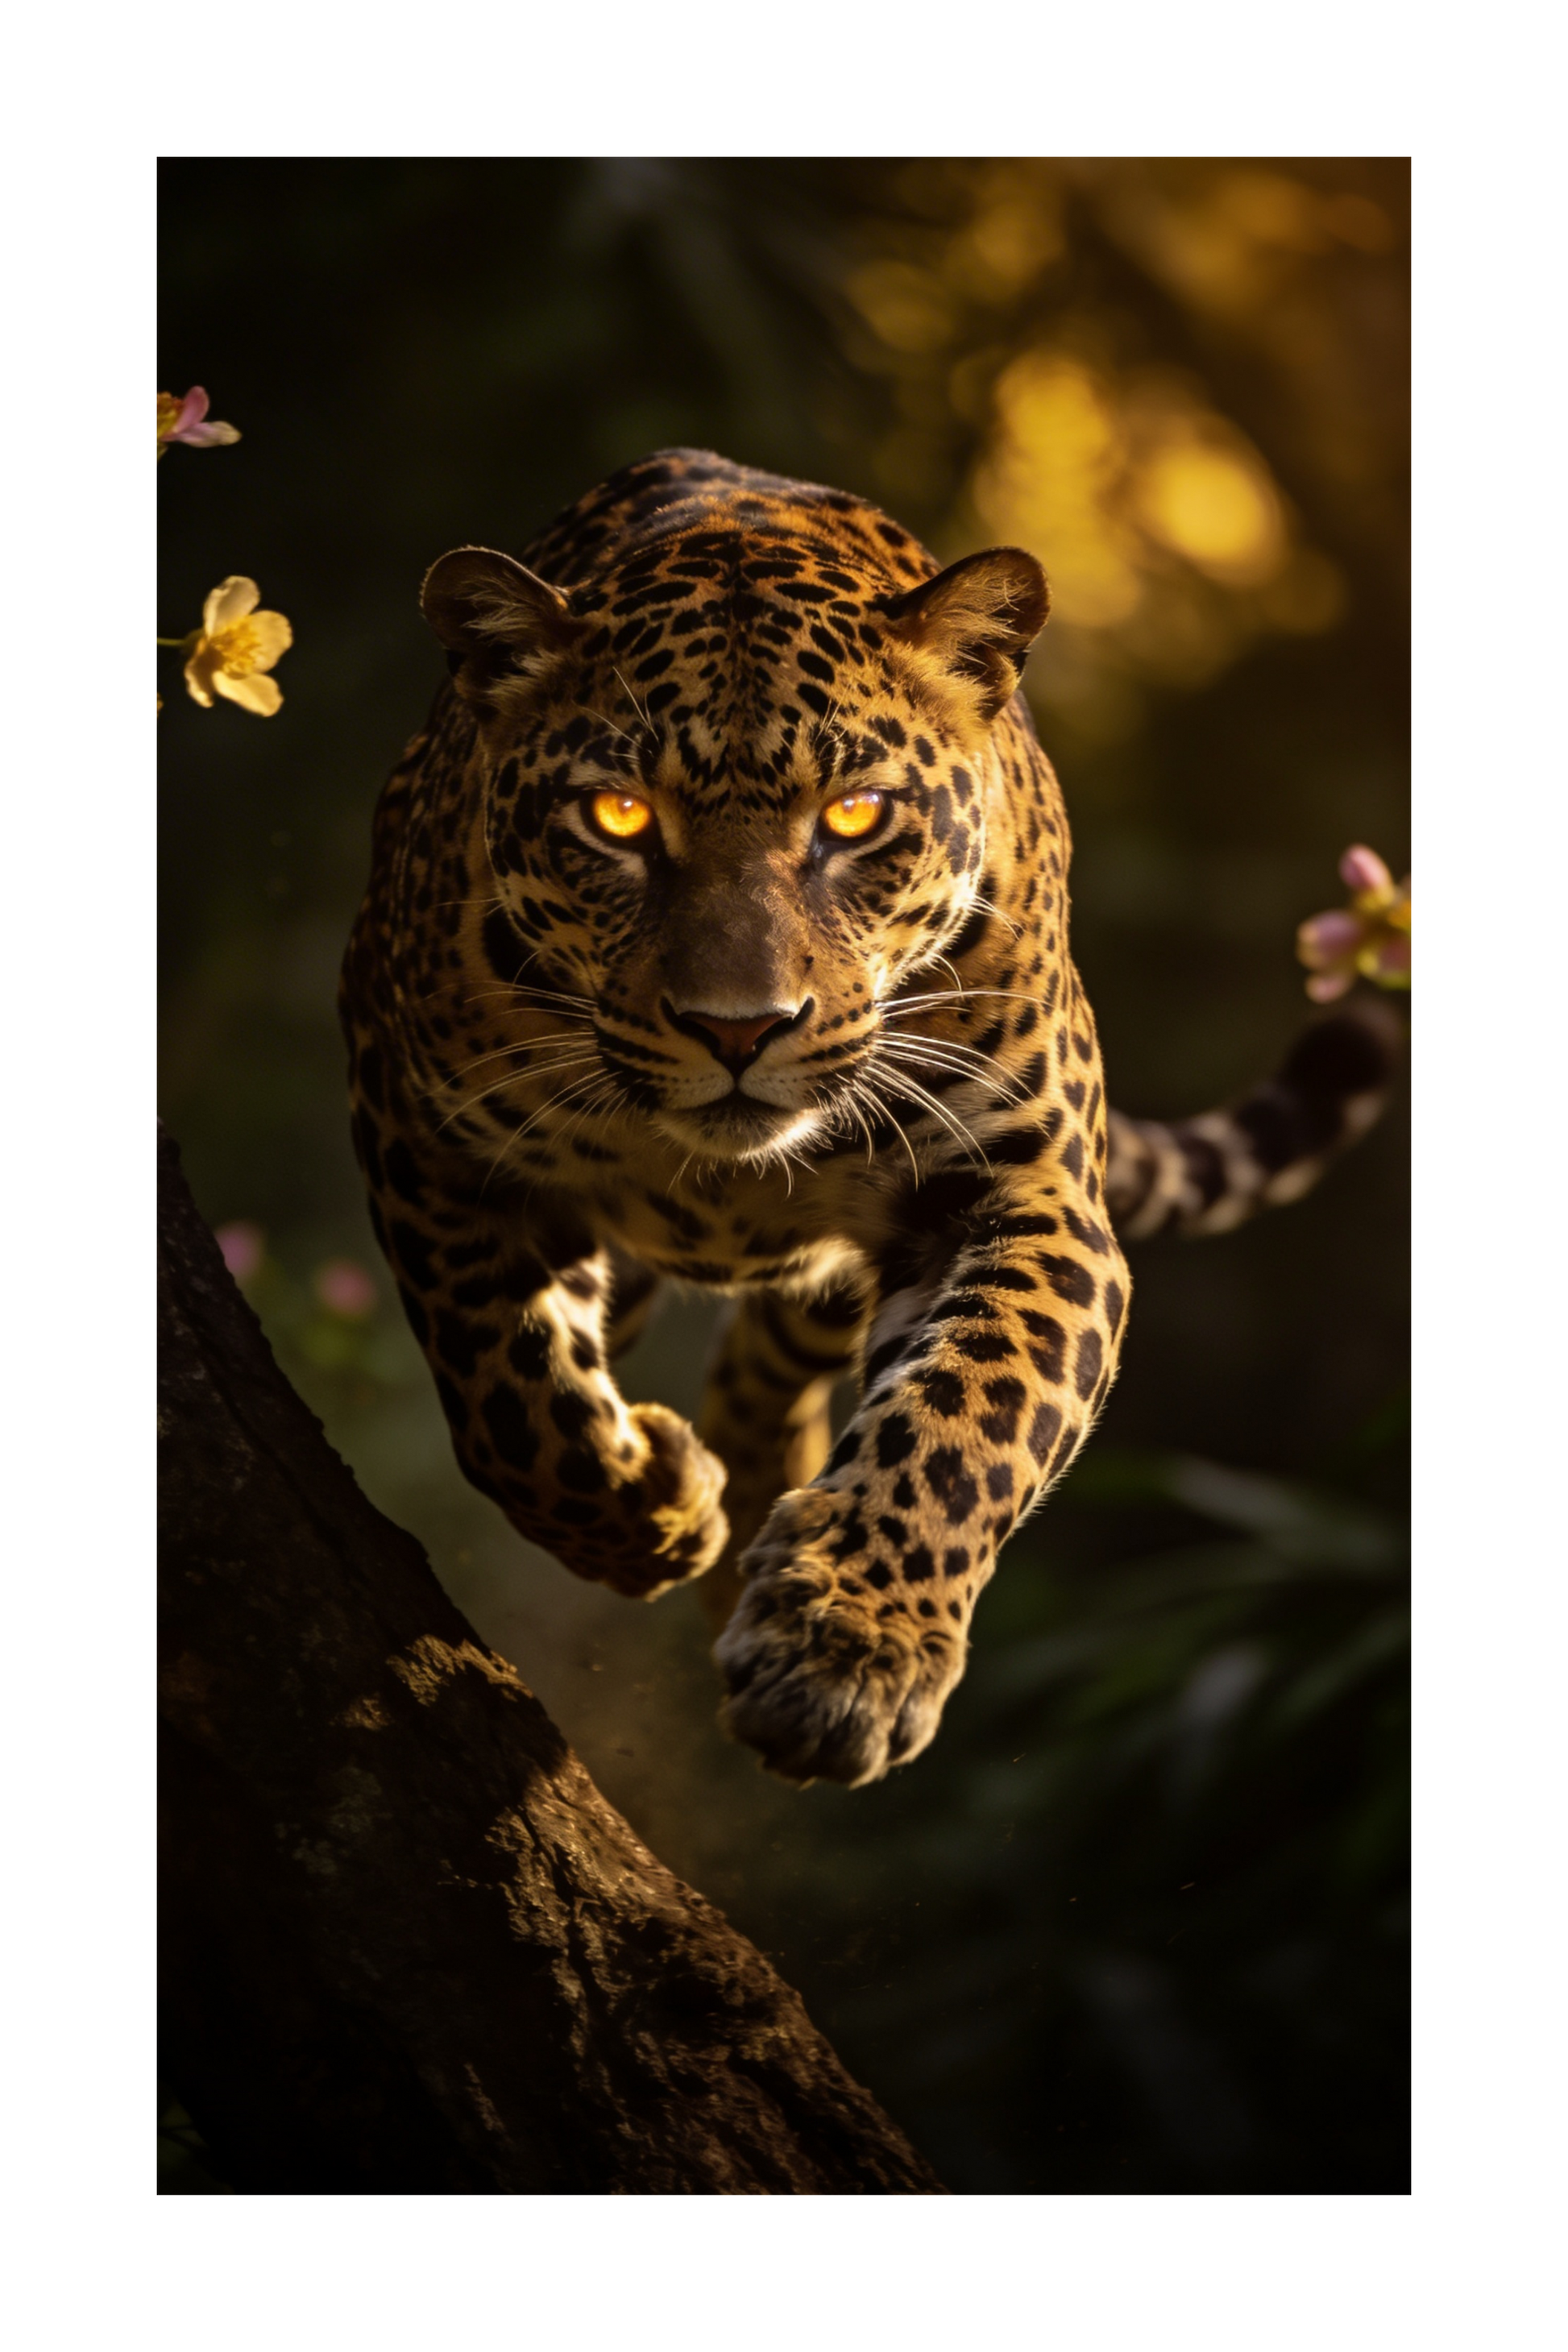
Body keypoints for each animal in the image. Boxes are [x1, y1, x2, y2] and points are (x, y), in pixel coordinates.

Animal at [340, 449, 1396, 1788]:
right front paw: (645, 1507)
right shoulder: (423, 1131)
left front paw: (845, 1651)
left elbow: (973, 1412)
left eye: (854, 816)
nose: (739, 1028)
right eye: (617, 816)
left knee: (772, 1349)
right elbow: (506, 1386)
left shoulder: (1021, 1192)